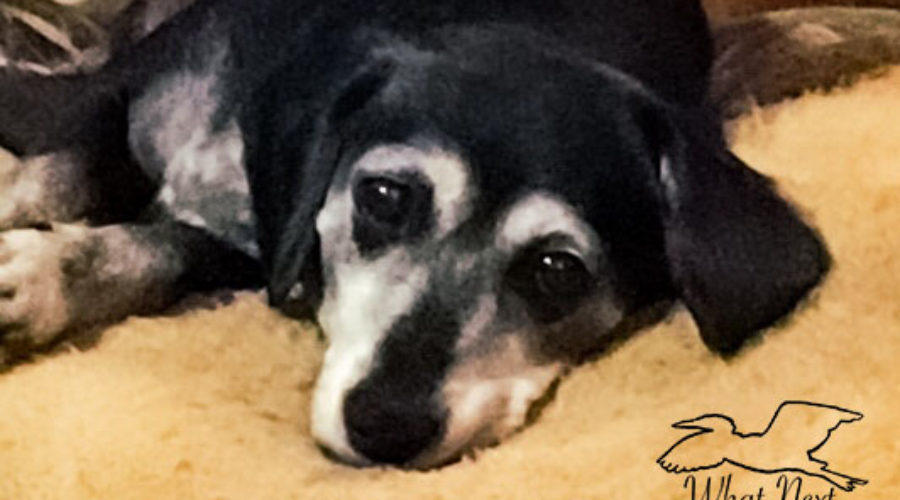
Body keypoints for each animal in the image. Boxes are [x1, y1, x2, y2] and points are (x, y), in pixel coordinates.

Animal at [0, 0, 828, 468]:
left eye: (559, 270)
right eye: (385, 196)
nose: (386, 427)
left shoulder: (253, 250)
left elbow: (160, 247)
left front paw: (41, 277)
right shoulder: (119, 89)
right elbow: (64, 172)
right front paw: (24, 258)